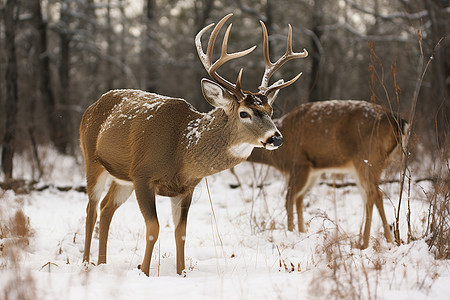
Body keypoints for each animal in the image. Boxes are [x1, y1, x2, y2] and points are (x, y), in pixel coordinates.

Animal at [79, 14, 308, 276]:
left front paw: (181, 273)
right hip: (92, 160)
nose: (276, 137)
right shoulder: (143, 175)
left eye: (270, 111)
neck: (181, 149)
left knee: (106, 208)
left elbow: (181, 232)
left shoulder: (185, 188)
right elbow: (153, 229)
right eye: (244, 113)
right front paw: (144, 272)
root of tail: (92, 106)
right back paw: (86, 263)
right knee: (91, 209)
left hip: (121, 177)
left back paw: (102, 263)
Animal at [244, 100, 406, 248]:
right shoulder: (314, 170)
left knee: (374, 193)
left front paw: (290, 233)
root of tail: (398, 120)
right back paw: (388, 240)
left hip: (367, 157)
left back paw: (364, 243)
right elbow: (299, 199)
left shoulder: (299, 163)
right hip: (368, 164)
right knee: (372, 195)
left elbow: (289, 198)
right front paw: (302, 233)